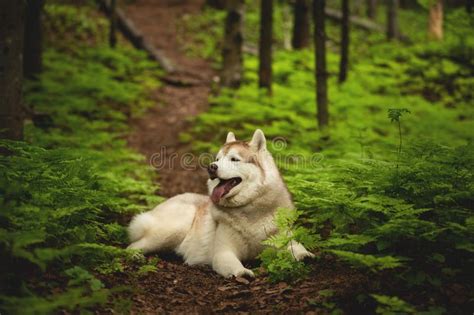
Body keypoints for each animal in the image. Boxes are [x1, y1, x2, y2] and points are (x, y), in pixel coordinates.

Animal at [129, 130, 314, 278]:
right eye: (217, 159)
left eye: (234, 159)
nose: (211, 167)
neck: (250, 209)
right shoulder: (224, 253)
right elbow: (233, 264)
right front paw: (242, 272)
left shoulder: (282, 237)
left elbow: (296, 247)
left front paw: (306, 255)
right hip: (176, 226)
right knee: (132, 245)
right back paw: (134, 255)